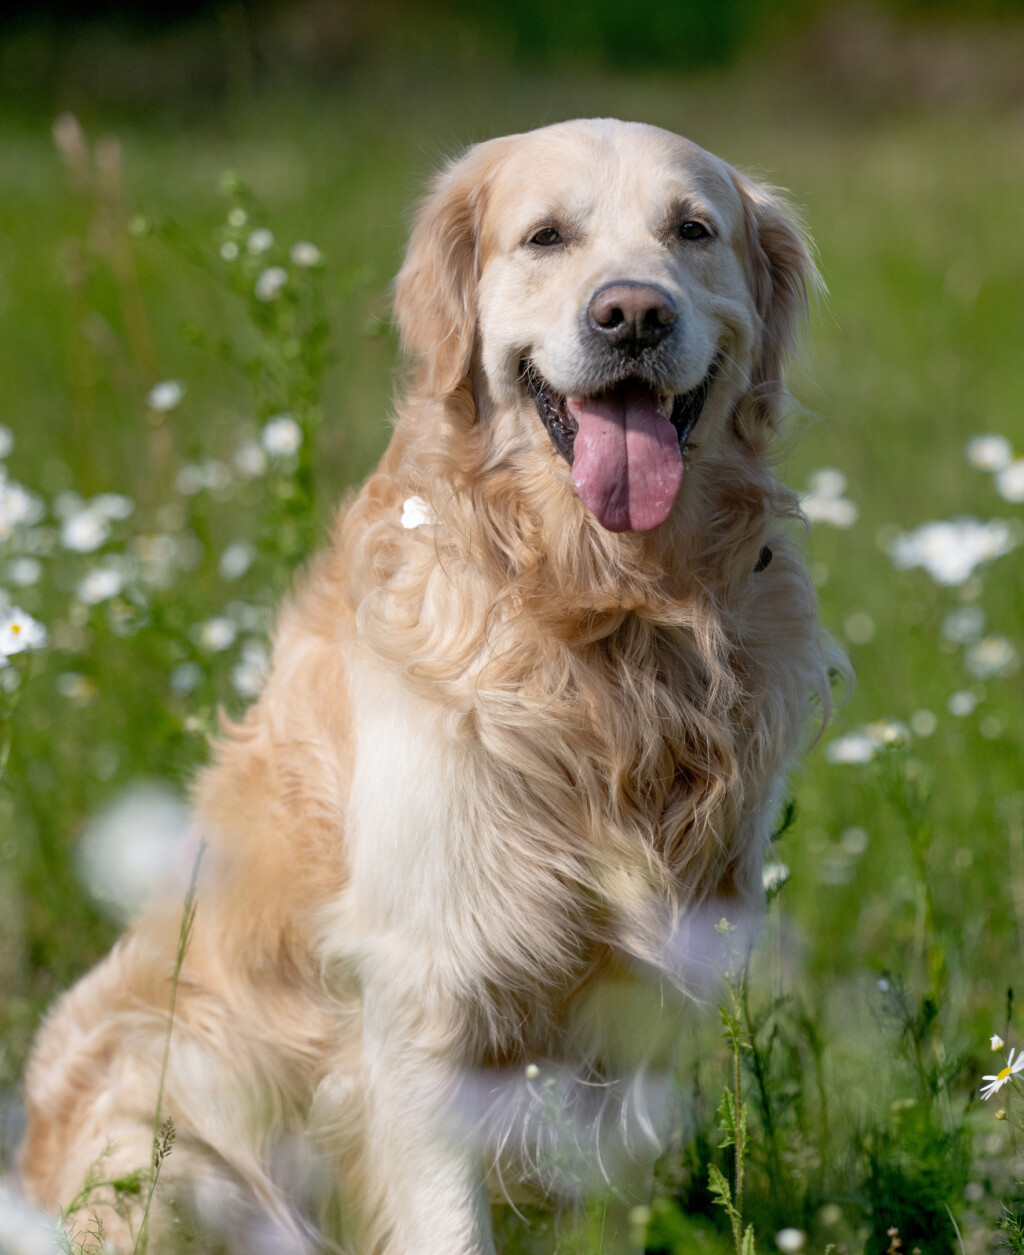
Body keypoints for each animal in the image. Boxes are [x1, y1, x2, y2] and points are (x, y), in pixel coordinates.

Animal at [18, 119, 833, 1255]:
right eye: (545, 236)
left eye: (692, 230)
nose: (632, 313)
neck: (604, 619)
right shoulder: (426, 999)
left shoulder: (641, 1021)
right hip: (159, 1158)